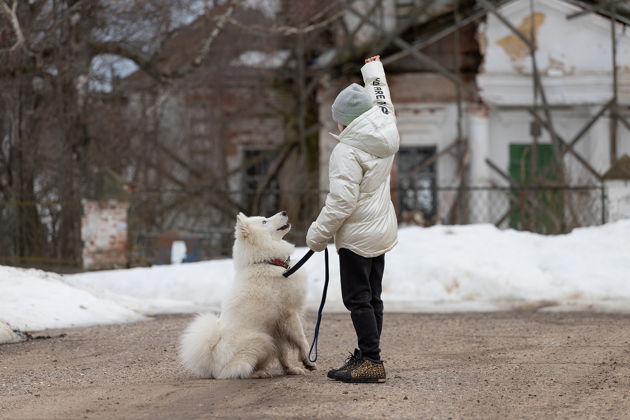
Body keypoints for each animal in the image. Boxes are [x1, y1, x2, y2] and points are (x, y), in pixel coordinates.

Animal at [178, 212, 316, 378]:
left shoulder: (277, 327)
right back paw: (259, 373)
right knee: (238, 370)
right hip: (263, 340)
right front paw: (308, 361)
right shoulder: (290, 314)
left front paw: (290, 369)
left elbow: (283, 353)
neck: (266, 261)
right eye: (264, 221)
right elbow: (302, 340)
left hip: (269, 338)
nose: (284, 212)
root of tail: (212, 360)